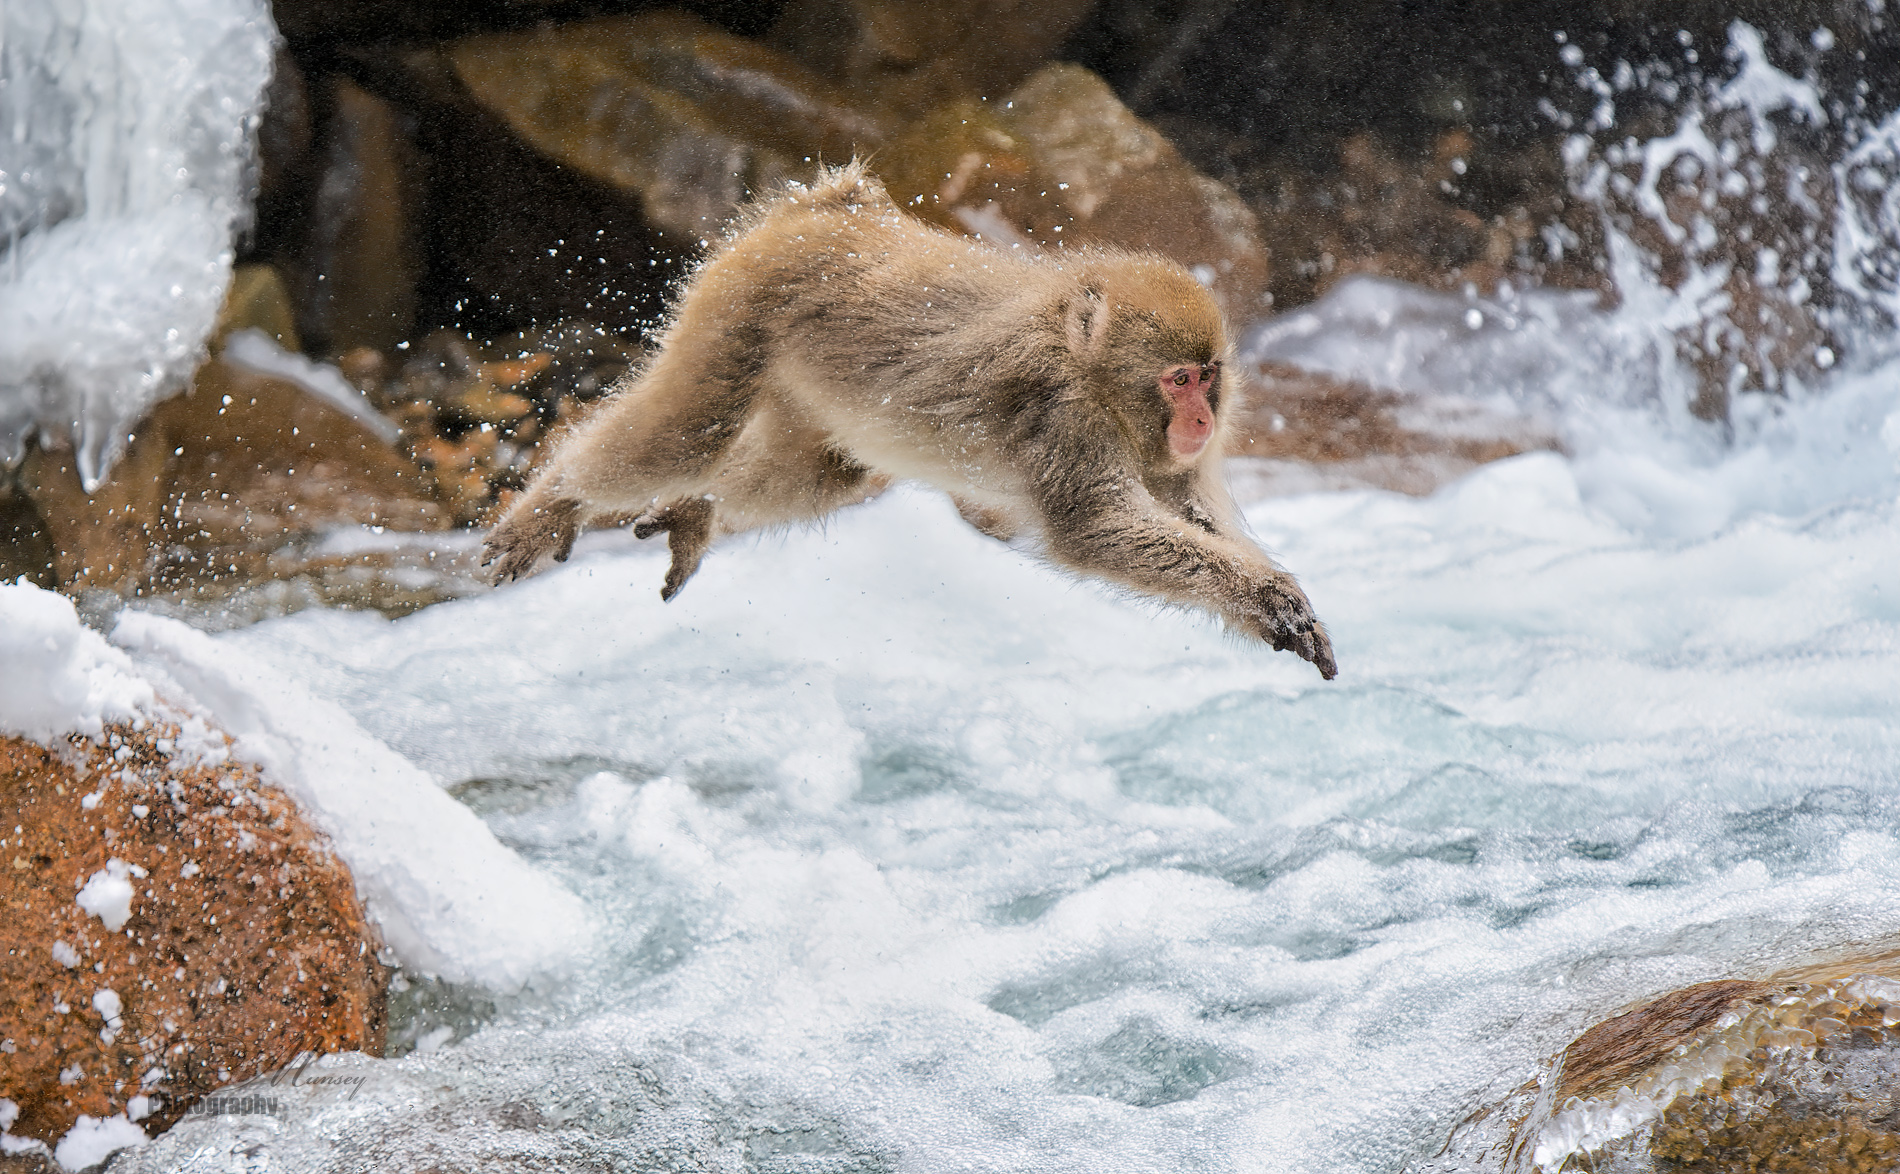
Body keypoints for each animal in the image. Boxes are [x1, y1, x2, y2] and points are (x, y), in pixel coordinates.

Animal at [483, 161, 1336, 679]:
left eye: (1210, 377)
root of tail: (835, 211)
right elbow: (1097, 531)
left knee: (825, 471)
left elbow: (1185, 507)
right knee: (688, 432)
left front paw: (1275, 602)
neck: (1089, 372)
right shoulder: (1063, 420)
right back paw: (555, 498)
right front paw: (1272, 597)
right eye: (1177, 379)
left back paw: (698, 513)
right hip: (742, 299)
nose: (1199, 419)